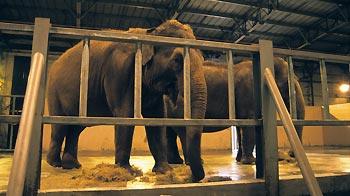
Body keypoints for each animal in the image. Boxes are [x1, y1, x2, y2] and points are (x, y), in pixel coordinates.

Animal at [45, 19, 206, 181]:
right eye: (177, 60)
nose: (191, 177)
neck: (149, 32)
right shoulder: (119, 70)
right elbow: (125, 114)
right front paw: (127, 172)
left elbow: (157, 118)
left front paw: (165, 171)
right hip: (54, 91)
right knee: (60, 125)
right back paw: (54, 163)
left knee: (75, 128)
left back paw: (72, 166)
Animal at [165, 56, 304, 164]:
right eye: (287, 84)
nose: (290, 154)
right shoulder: (249, 91)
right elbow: (249, 122)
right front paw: (250, 162)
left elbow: (240, 125)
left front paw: (239, 160)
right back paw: (194, 162)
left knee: (169, 132)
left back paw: (176, 162)